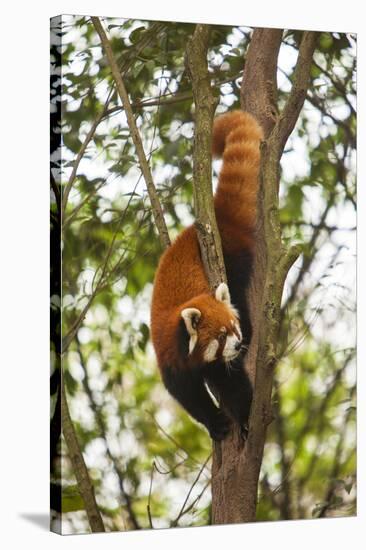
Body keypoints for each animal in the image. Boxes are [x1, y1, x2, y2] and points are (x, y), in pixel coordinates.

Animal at [151, 110, 264, 442]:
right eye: (222, 335)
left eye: (233, 327)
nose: (238, 344)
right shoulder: (171, 360)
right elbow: (188, 397)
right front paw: (215, 423)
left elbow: (233, 382)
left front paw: (244, 418)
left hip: (234, 260)